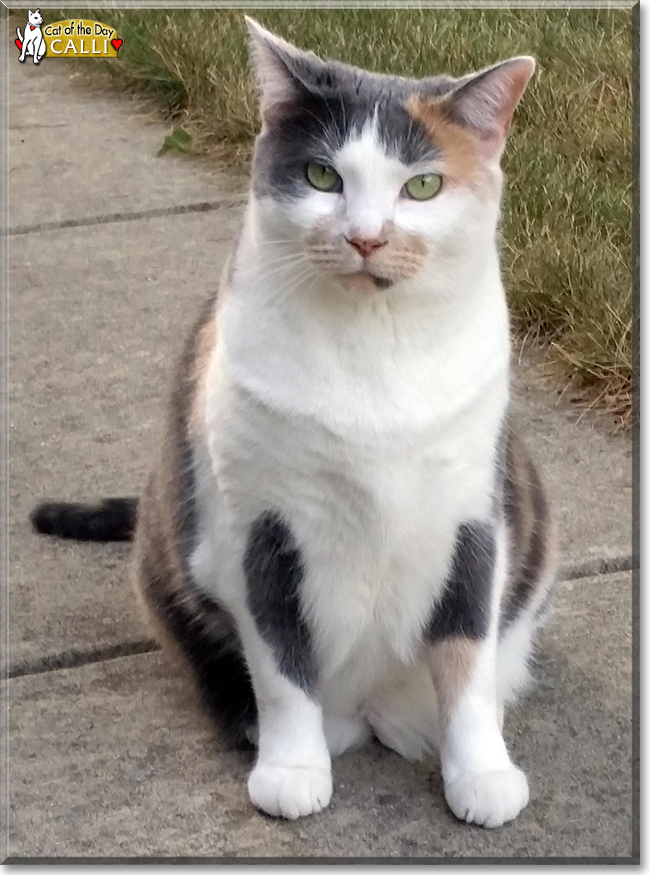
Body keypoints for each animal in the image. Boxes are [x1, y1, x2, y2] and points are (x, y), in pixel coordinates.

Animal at [31, 18, 552, 828]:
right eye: (321, 177)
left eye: (422, 185)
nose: (367, 237)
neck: (374, 352)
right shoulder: (261, 529)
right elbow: (282, 662)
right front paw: (293, 767)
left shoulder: (475, 517)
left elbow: (467, 654)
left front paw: (482, 772)